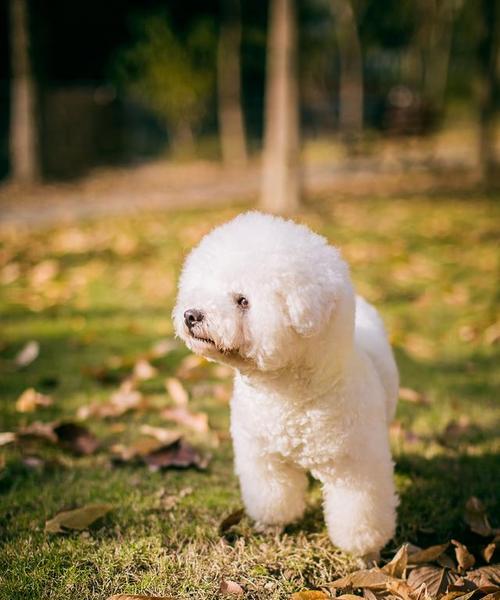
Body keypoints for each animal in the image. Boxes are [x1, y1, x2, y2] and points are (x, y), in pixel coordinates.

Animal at [174, 212, 400, 556]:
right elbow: (273, 497)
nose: (191, 315)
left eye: (243, 301)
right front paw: (271, 526)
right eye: (204, 287)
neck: (287, 394)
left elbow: (360, 515)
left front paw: (366, 553)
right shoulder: (263, 457)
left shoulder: (355, 466)